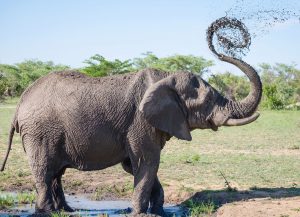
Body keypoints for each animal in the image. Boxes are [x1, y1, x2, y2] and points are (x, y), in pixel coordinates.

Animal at [1, 18, 260, 215]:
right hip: (40, 132)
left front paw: (157, 211)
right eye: (207, 102)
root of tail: (21, 101)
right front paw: (139, 213)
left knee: (56, 173)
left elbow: (136, 166)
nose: (224, 40)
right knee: (44, 170)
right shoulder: (140, 122)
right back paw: (46, 212)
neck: (165, 76)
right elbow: (147, 162)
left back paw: (66, 210)